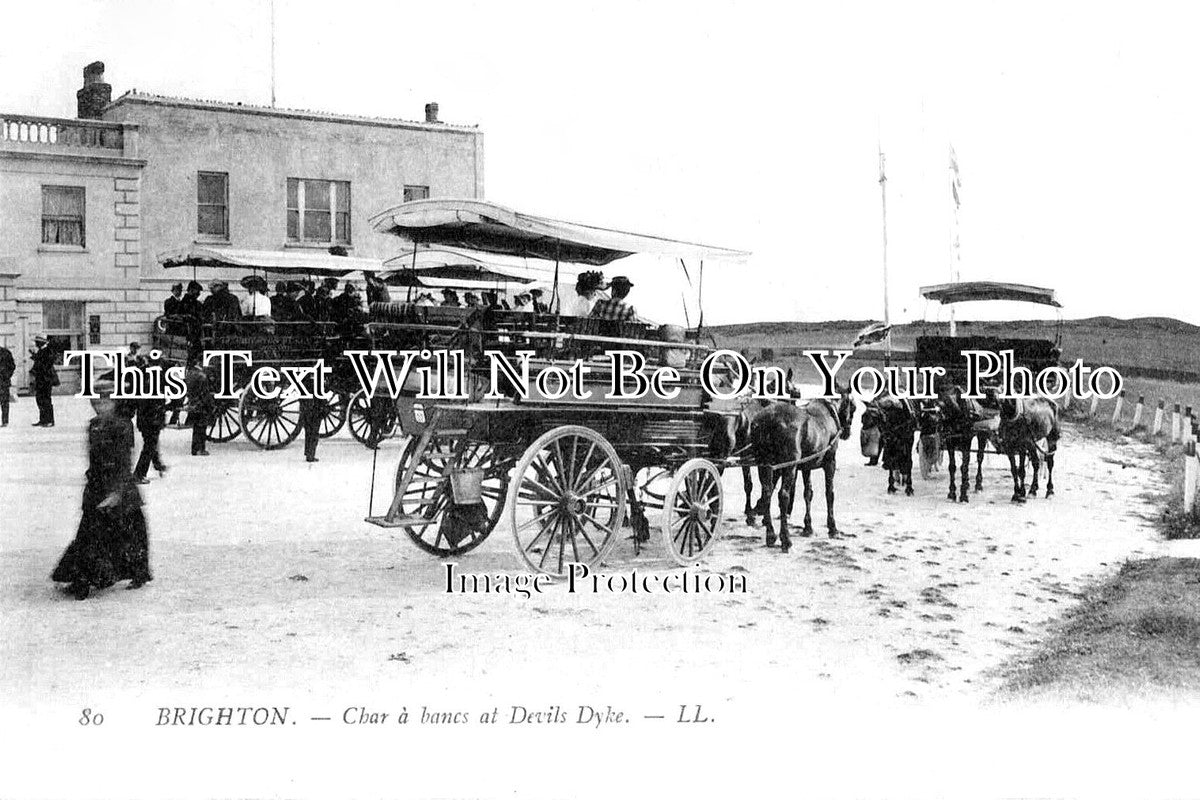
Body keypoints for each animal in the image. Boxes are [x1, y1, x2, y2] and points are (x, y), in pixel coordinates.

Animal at [744, 386, 859, 551]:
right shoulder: (830, 462)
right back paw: (785, 538)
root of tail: (770, 419)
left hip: (765, 464)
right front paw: (833, 528)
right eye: (853, 406)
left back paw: (770, 534)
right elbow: (829, 493)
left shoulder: (806, 466)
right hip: (789, 466)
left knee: (767, 493)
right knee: (782, 495)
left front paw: (808, 527)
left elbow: (808, 493)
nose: (847, 432)